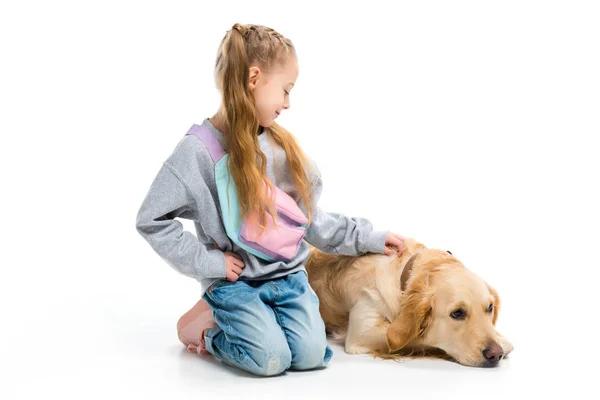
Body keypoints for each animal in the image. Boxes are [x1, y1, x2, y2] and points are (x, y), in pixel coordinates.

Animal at [308, 238, 512, 368]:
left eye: (490, 308)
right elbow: (412, 338)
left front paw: (500, 338)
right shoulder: (362, 333)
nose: (495, 354)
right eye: (457, 313)